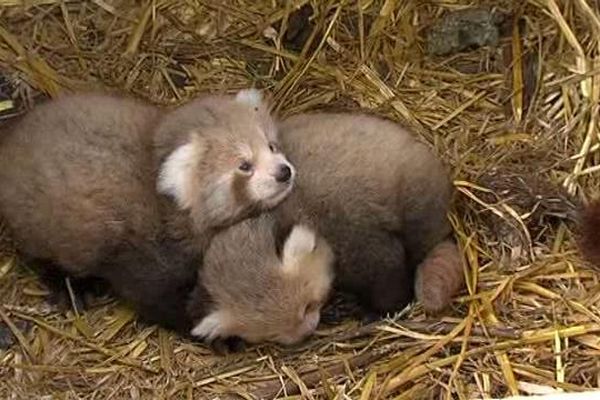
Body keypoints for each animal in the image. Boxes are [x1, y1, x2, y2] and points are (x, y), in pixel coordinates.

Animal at [0, 89, 296, 330]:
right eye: (244, 166)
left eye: (272, 146)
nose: (284, 172)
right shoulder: (145, 257)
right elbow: (161, 301)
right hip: (50, 226)